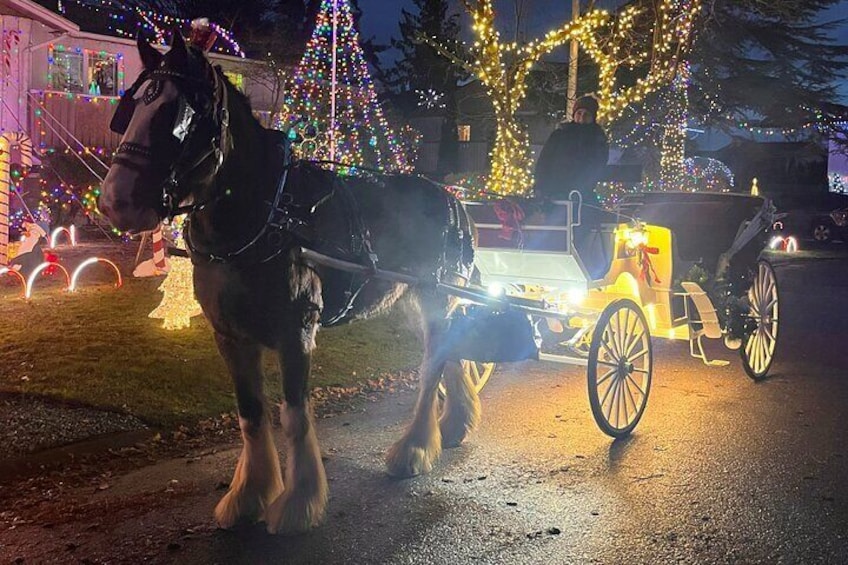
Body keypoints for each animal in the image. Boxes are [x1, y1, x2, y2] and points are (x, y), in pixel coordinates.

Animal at [97, 33, 484, 532]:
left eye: (181, 115)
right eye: (131, 109)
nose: (115, 201)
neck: (268, 215)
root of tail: (454, 201)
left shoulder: (295, 331)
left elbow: (295, 415)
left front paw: (298, 503)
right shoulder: (230, 337)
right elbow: (250, 413)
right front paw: (248, 495)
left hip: (435, 298)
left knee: (431, 366)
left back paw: (414, 449)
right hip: (415, 303)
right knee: (450, 351)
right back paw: (454, 425)